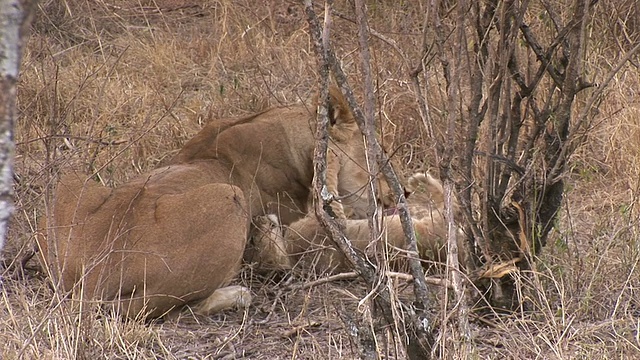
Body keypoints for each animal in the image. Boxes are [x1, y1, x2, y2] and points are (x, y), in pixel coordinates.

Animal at [37, 86, 396, 318]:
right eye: (377, 157)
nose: (399, 194)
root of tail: (92, 280)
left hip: (66, 178)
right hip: (228, 197)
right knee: (166, 308)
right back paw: (239, 293)